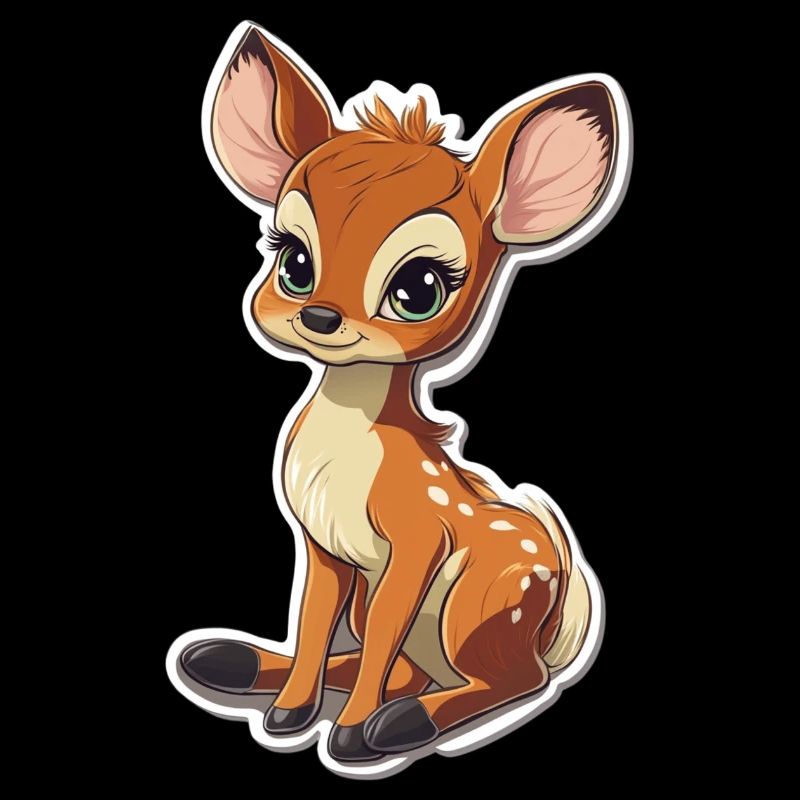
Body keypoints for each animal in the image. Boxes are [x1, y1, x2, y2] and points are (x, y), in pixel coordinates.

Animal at [174, 22, 630, 768]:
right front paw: (289, 714)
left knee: (512, 678)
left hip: (481, 598)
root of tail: (556, 621)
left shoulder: (417, 543)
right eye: (293, 260)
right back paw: (228, 661)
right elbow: (314, 624)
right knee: (397, 664)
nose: (320, 317)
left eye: (419, 288)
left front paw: (352, 733)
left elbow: (381, 637)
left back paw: (402, 723)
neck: (349, 448)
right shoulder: (323, 548)